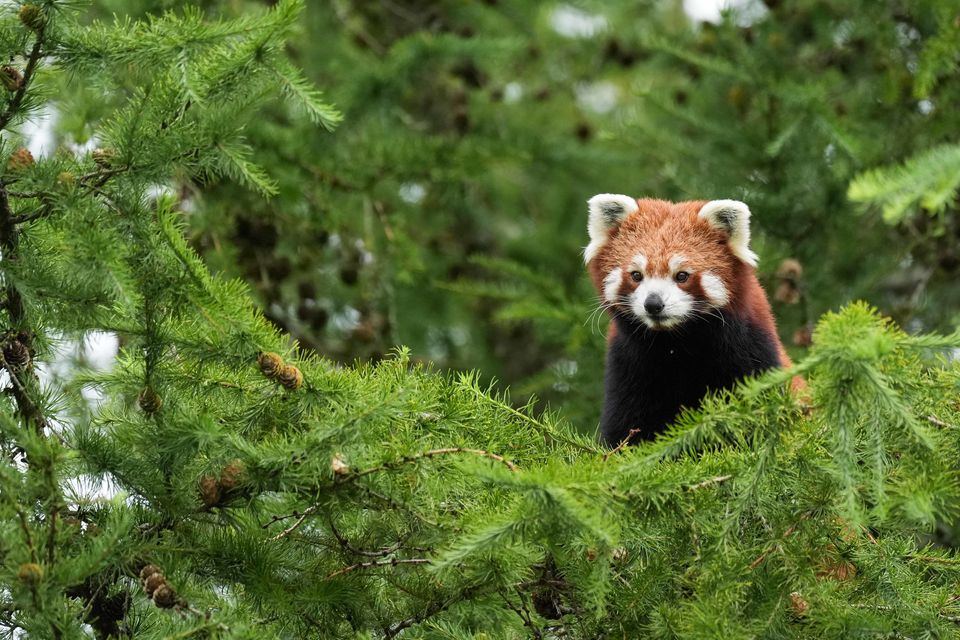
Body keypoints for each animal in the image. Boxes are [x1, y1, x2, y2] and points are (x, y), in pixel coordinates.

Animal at [588, 195, 792, 444]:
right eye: (636, 275)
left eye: (681, 276)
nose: (653, 303)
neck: (676, 345)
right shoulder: (627, 366)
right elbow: (624, 426)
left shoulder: (751, 352)